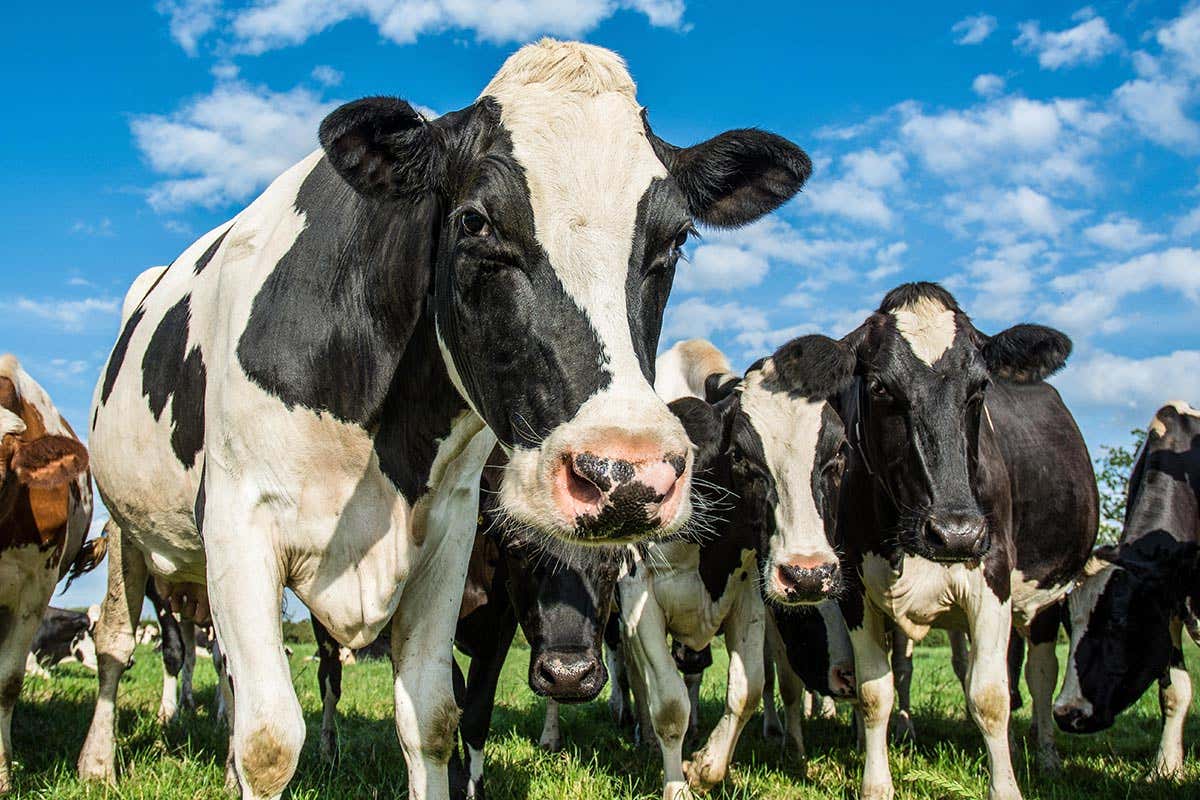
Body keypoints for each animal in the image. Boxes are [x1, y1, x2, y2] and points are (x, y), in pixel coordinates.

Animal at [78, 40, 811, 800]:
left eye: (676, 238)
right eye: (475, 221)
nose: (626, 475)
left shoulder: (449, 537)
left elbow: (432, 718)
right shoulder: (237, 521)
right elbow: (269, 740)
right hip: (126, 527)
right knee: (117, 644)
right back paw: (98, 762)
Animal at [619, 337, 853, 800]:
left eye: (838, 452)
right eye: (741, 455)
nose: (808, 575)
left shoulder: (748, 594)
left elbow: (748, 690)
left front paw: (704, 767)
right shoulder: (639, 595)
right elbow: (669, 704)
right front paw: (676, 786)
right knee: (640, 681)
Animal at [790, 282, 1097, 800]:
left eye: (980, 388)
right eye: (879, 387)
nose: (956, 532)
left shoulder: (993, 577)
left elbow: (990, 696)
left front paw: (1006, 787)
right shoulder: (854, 588)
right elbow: (875, 693)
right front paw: (876, 783)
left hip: (1043, 600)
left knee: (1037, 674)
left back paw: (1046, 753)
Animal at [1055, 401, 1200, 779]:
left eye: (1118, 621)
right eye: (1066, 624)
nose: (1067, 713)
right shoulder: (1168, 609)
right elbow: (1175, 692)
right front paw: (1165, 767)